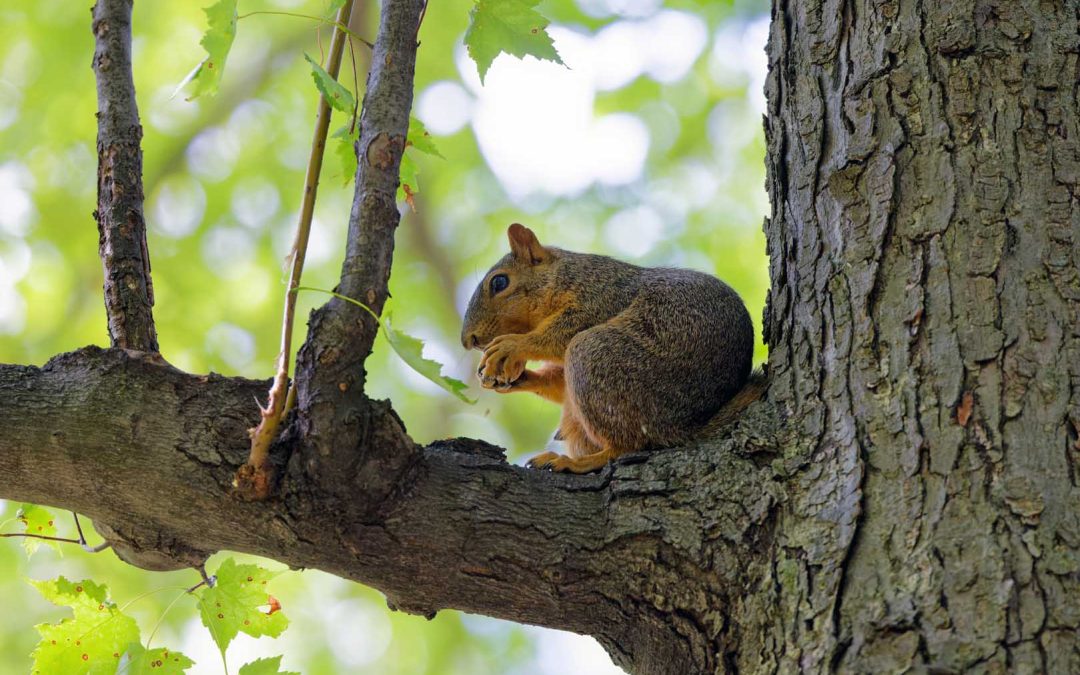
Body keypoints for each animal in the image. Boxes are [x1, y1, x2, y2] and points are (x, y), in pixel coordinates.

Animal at [461, 224, 762, 474]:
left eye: (499, 282)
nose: (468, 340)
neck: (565, 276)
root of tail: (682, 426)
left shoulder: (600, 300)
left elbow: (560, 335)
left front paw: (513, 345)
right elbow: (559, 384)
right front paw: (513, 378)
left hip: (598, 356)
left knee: (628, 445)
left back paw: (576, 462)